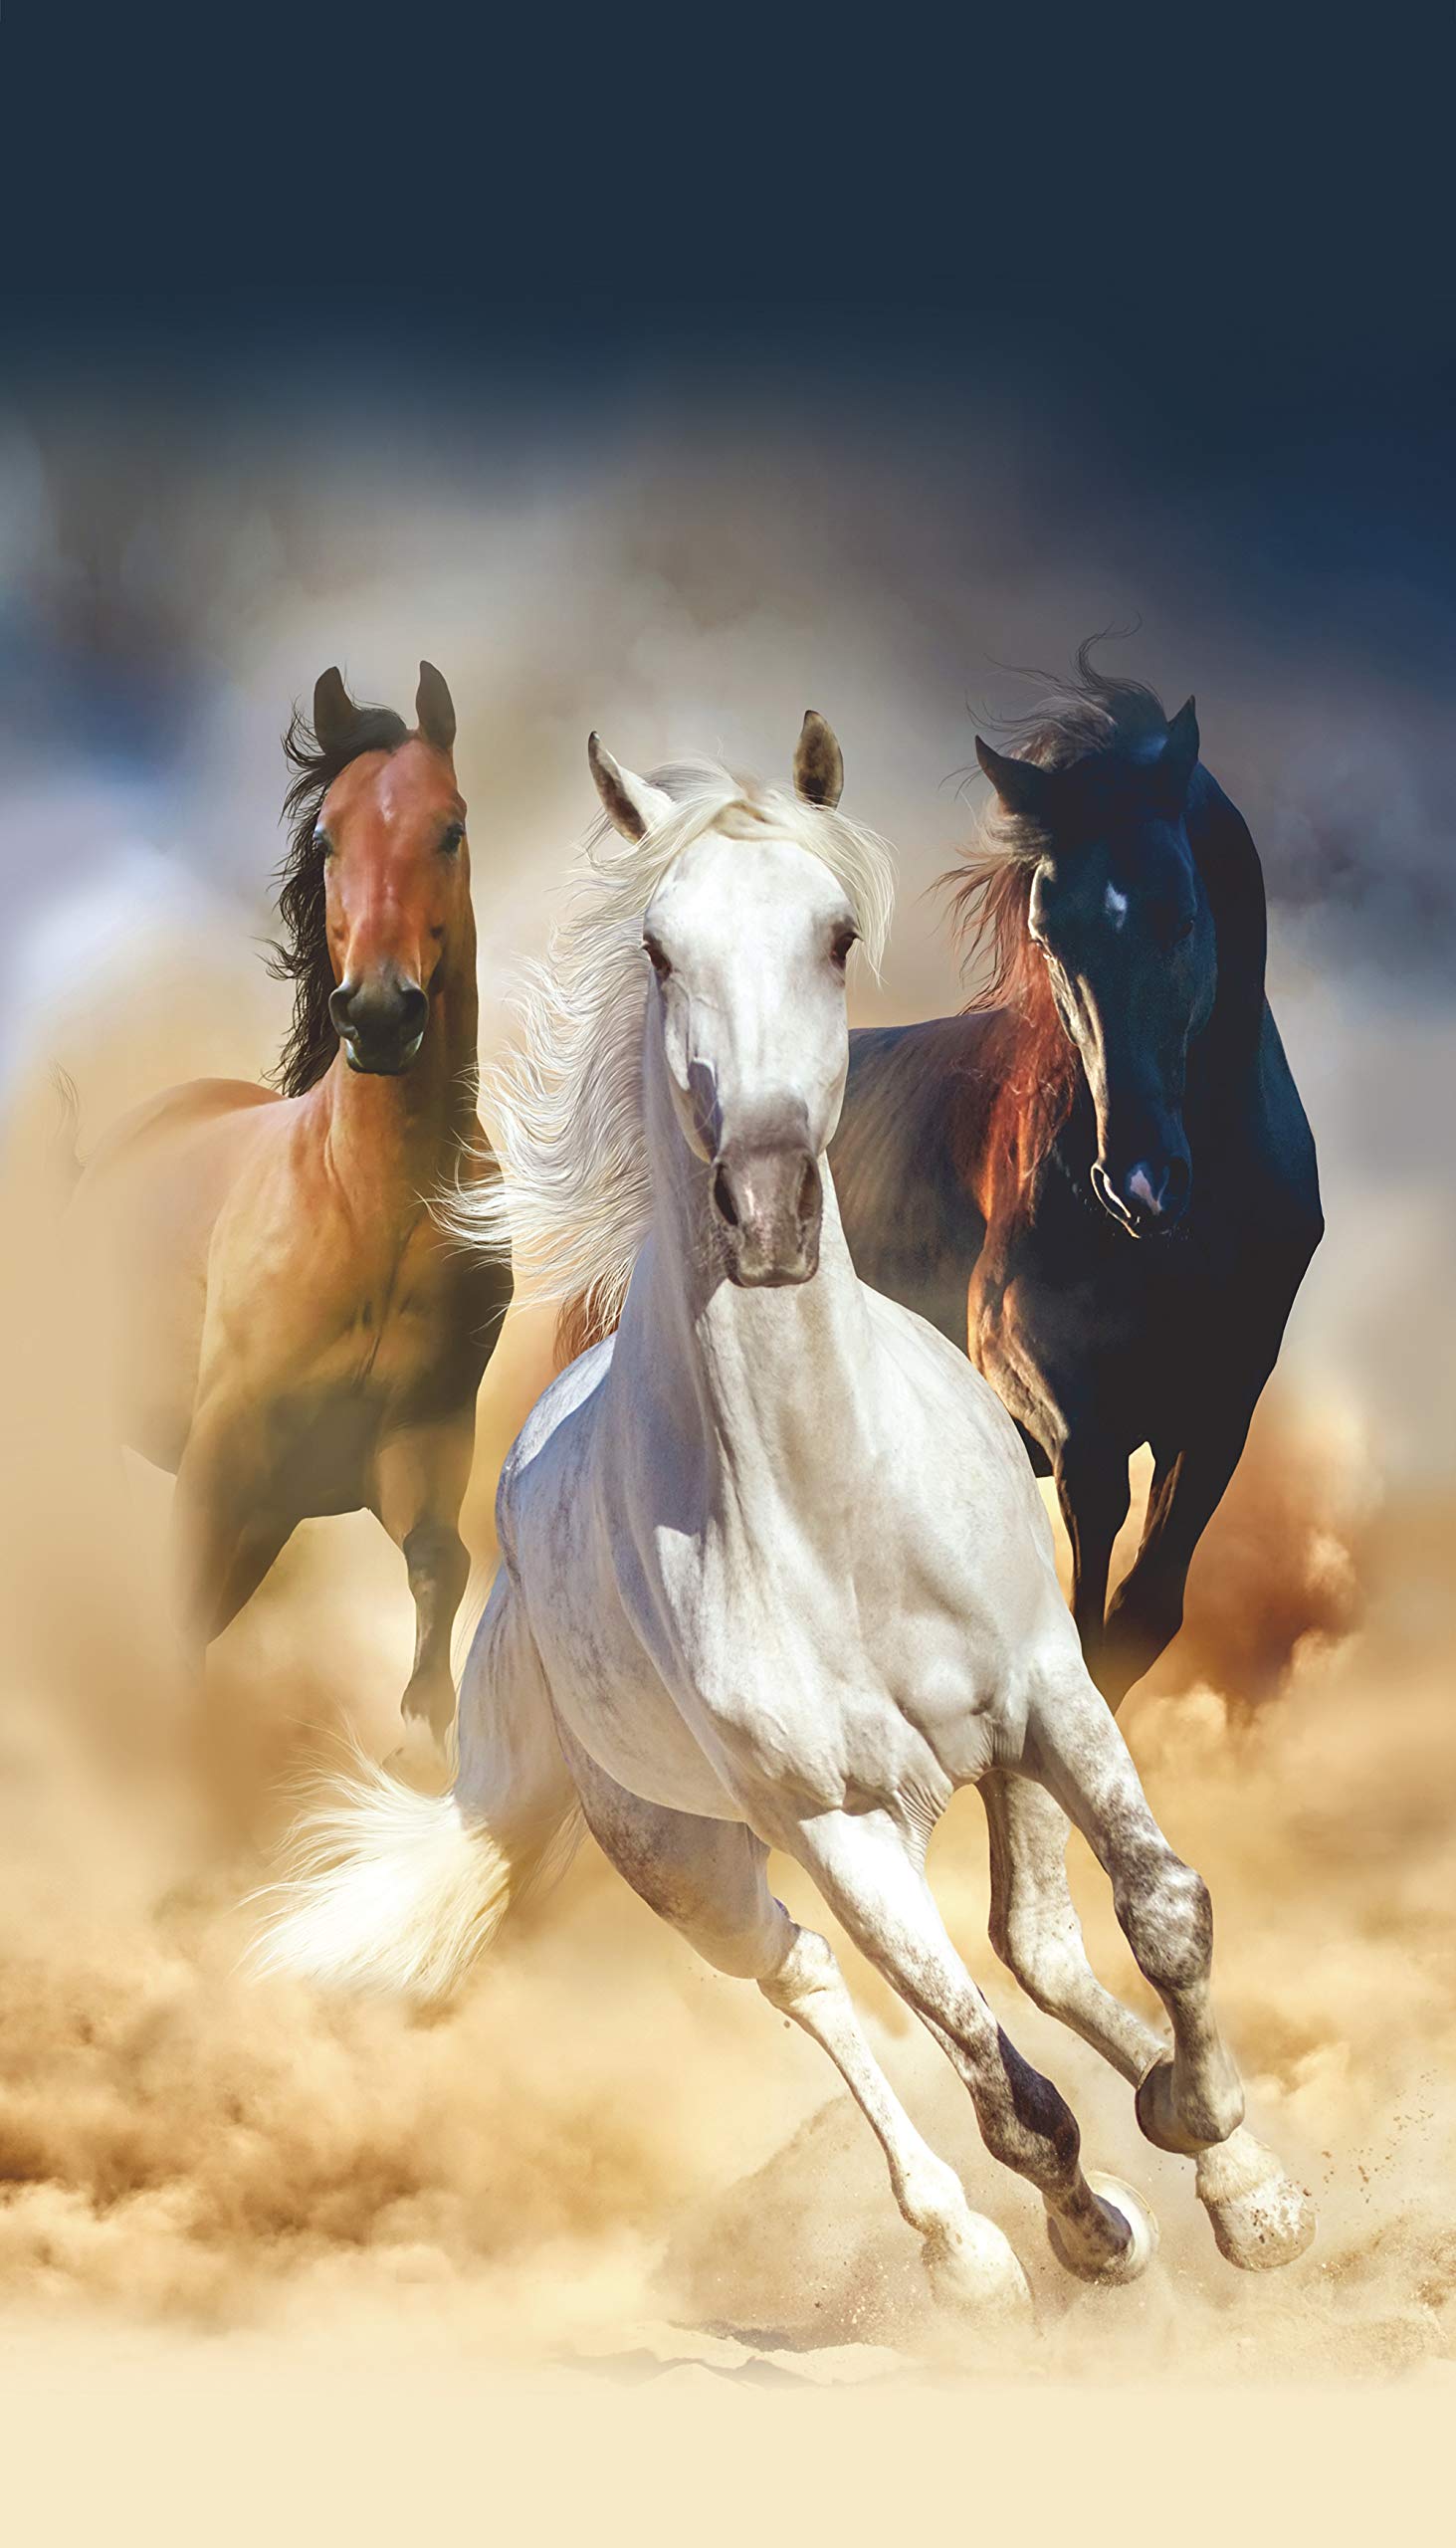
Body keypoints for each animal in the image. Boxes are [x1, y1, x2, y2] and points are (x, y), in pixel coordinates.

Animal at [67, 663, 510, 1740]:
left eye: (449, 827)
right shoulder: (220, 1461)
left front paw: (423, 1731)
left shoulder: (409, 1452)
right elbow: (176, 1621)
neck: (371, 1211)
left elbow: (442, 1567)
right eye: (325, 838)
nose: (381, 1013)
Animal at [830, 657, 1323, 1709]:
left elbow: (1140, 1616)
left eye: (1182, 913)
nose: (1137, 1183)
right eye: (1049, 937)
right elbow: (1086, 1578)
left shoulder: (1220, 1406)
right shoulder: (1036, 1374)